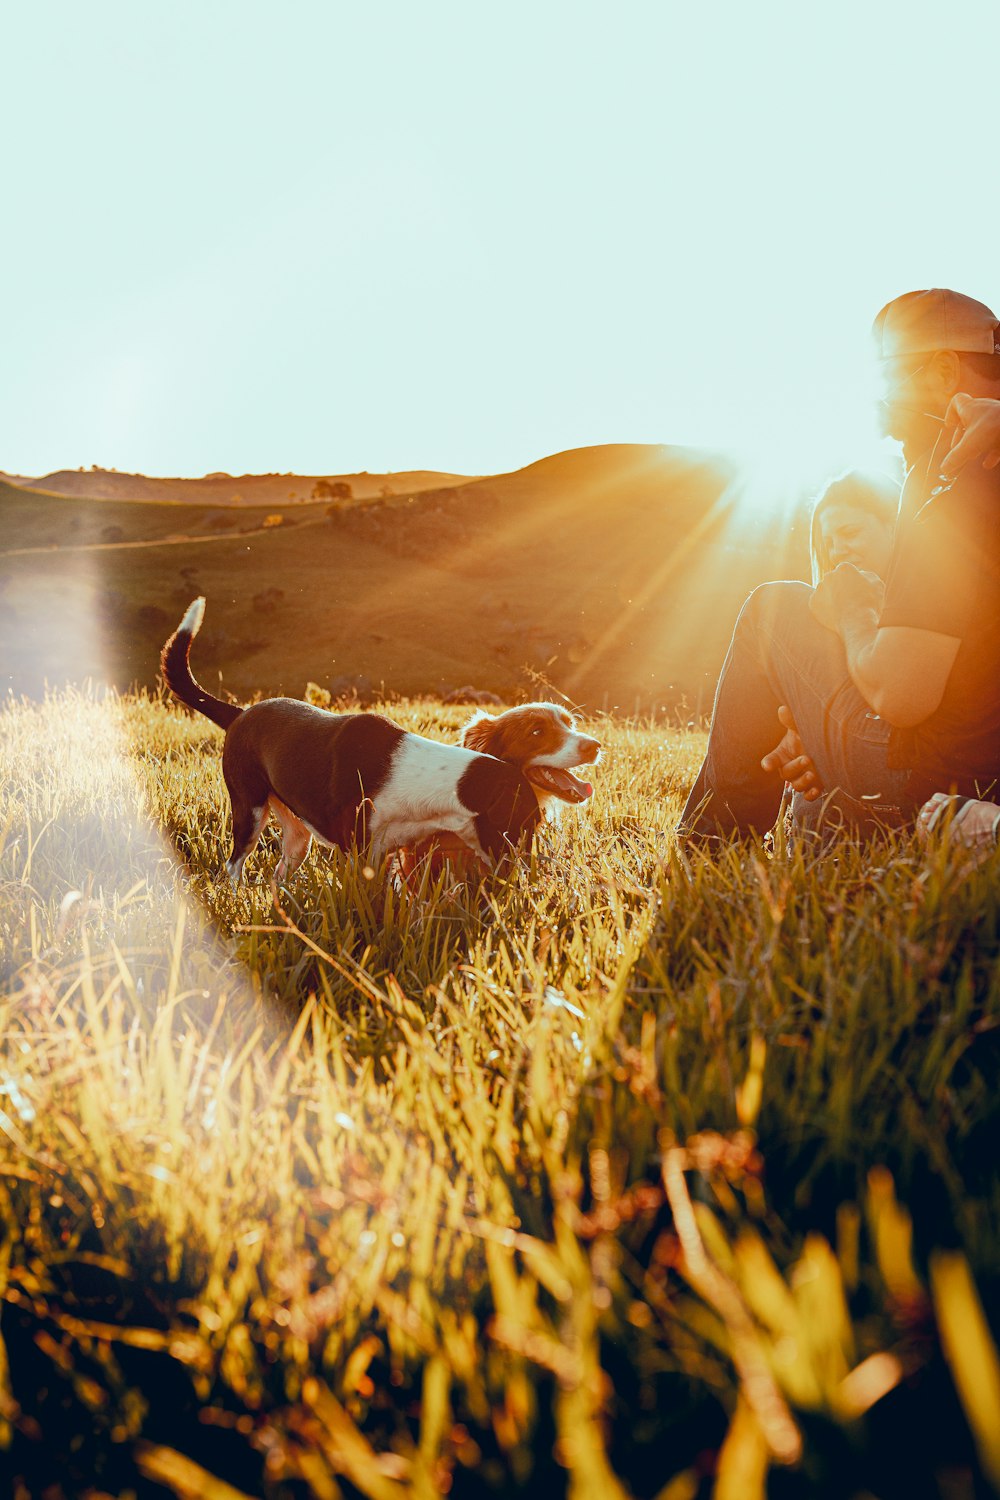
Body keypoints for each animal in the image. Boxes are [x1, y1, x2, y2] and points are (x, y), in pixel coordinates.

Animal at [160, 597, 599, 882]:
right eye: (537, 732)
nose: (527, 878)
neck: (432, 783)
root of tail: (240, 713)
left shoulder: (389, 855)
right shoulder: (360, 855)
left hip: (296, 834)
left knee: (281, 870)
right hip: (248, 810)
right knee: (234, 866)